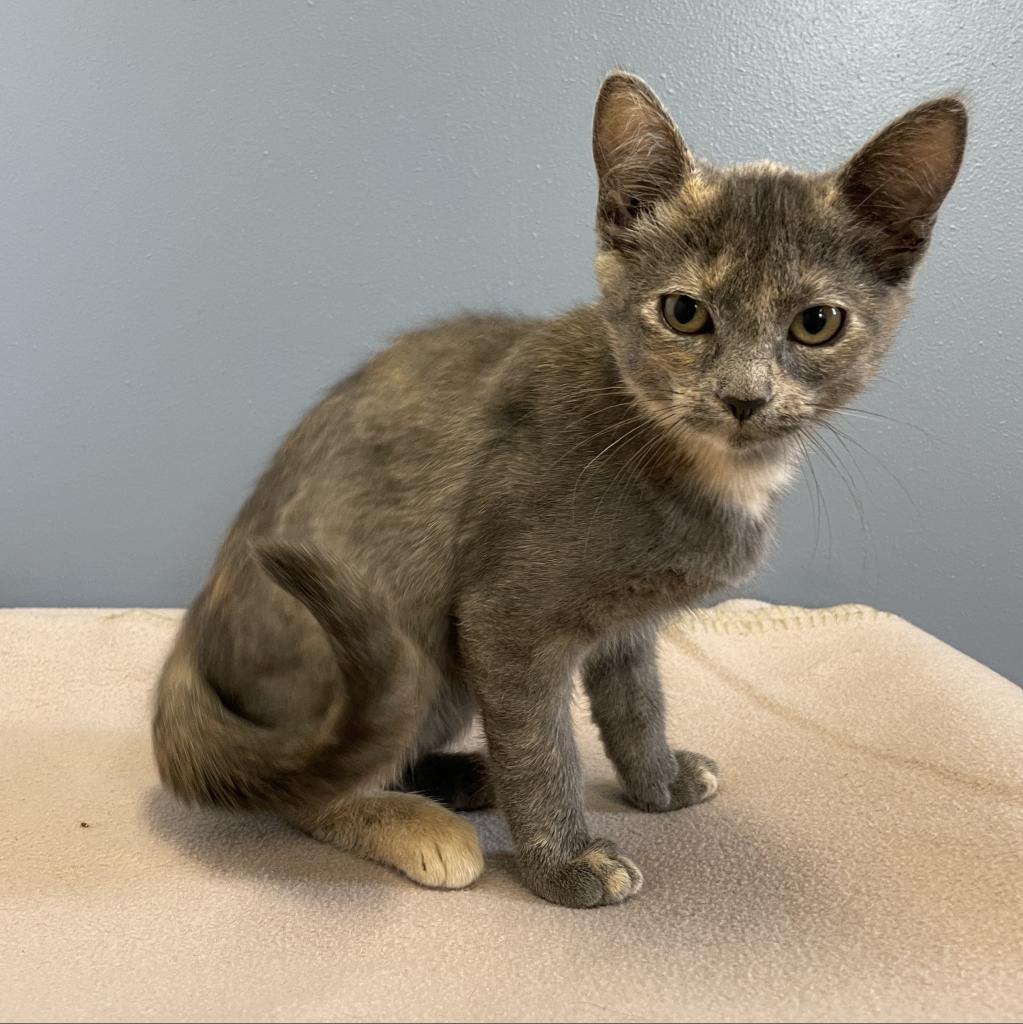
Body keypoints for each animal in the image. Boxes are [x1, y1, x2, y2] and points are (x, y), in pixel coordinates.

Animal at [151, 70, 966, 905]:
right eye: (683, 312)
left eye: (816, 323)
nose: (744, 397)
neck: (699, 465)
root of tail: (195, 633)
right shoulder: (503, 617)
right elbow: (541, 746)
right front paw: (564, 862)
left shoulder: (627, 623)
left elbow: (636, 702)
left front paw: (657, 781)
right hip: (403, 649)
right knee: (308, 786)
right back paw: (422, 825)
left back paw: (463, 777)